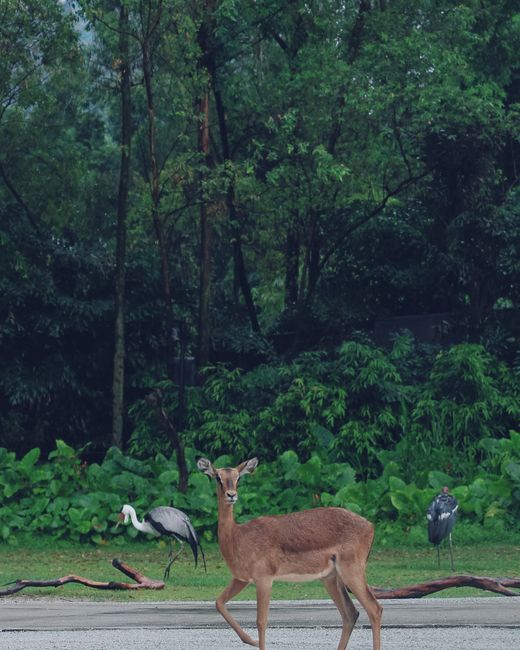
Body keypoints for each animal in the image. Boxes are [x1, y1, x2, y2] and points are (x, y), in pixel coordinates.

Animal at [197, 456, 382, 650]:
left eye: (238, 477)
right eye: (218, 477)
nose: (231, 494)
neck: (238, 537)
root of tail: (370, 526)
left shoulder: (264, 579)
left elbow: (261, 621)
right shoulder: (241, 579)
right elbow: (218, 602)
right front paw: (251, 641)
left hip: (351, 571)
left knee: (374, 609)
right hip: (331, 578)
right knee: (350, 614)